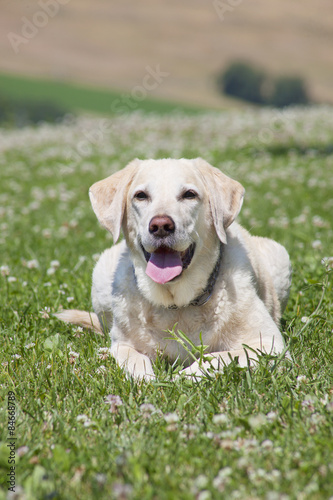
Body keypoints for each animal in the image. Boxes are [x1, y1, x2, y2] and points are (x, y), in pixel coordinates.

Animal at [56, 159, 290, 378]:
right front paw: (147, 381)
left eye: (189, 195)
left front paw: (179, 378)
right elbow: (135, 361)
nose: (160, 225)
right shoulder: (121, 345)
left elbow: (215, 359)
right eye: (140, 196)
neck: (177, 302)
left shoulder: (269, 344)